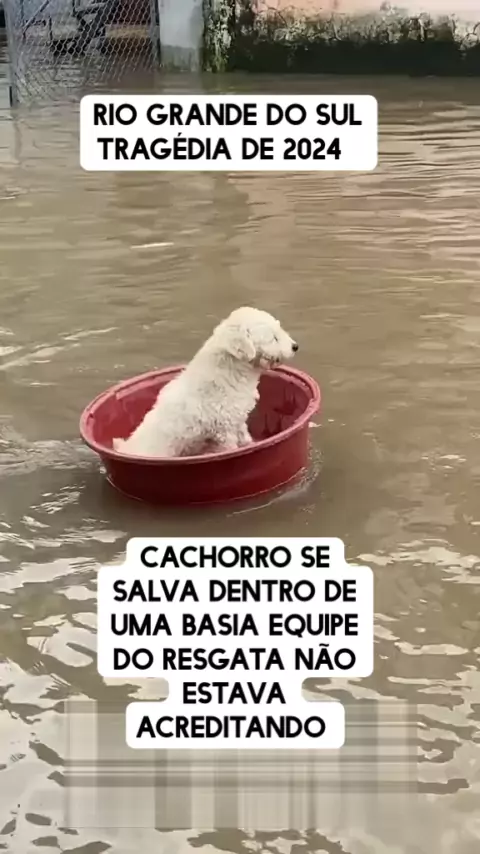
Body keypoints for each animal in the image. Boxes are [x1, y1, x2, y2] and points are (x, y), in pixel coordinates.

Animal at [112, 306, 298, 459]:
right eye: (273, 338)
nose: (295, 346)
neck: (229, 373)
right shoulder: (224, 429)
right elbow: (231, 448)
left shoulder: (237, 419)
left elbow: (245, 438)